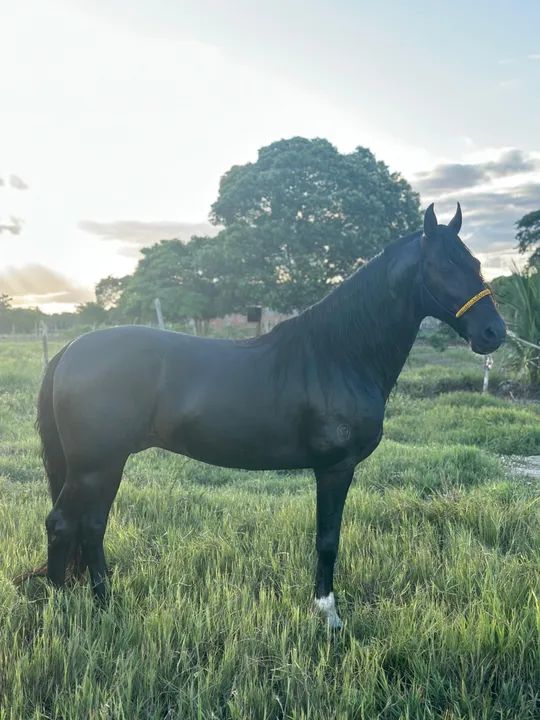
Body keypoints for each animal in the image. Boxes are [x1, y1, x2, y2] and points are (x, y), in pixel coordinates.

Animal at [26, 203, 506, 628]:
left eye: (476, 262)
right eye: (441, 265)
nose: (493, 332)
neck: (340, 354)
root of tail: (71, 350)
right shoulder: (336, 468)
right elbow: (328, 539)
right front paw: (328, 615)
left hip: (108, 464)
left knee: (92, 524)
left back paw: (105, 601)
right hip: (94, 465)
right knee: (62, 524)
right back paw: (62, 606)